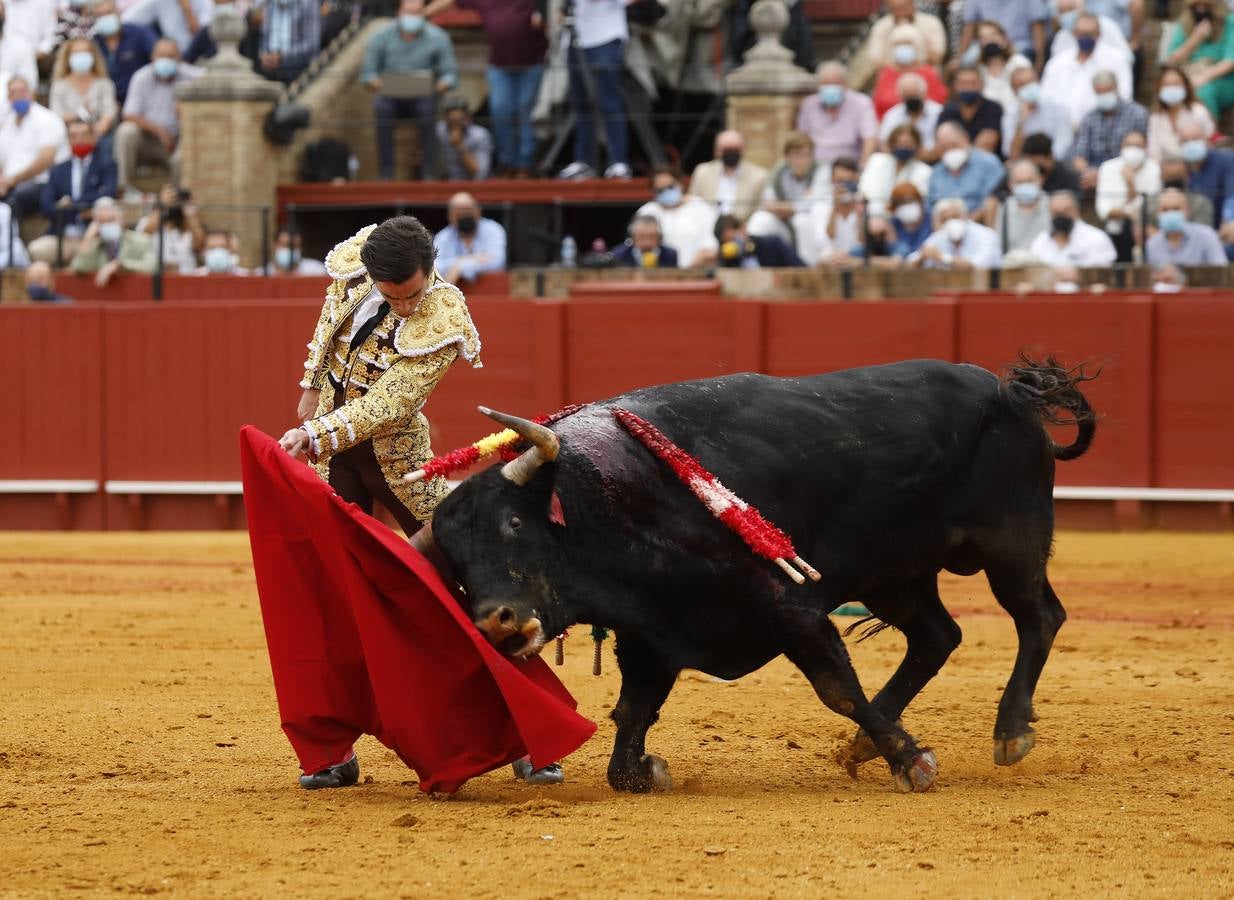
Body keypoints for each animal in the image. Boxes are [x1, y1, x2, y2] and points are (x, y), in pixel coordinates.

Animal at [419, 358, 1095, 795]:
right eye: (452, 560)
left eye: (513, 523)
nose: (496, 621)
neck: (612, 499)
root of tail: (1010, 392)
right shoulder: (652, 634)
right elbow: (630, 718)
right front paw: (646, 769)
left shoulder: (790, 606)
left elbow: (836, 688)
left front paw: (911, 762)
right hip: (895, 576)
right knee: (937, 637)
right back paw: (867, 744)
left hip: (1011, 542)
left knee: (1039, 616)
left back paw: (1009, 732)